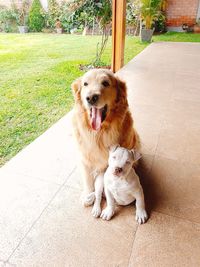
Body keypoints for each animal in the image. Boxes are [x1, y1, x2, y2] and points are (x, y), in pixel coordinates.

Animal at [71, 69, 140, 207]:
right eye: (85, 84)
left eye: (105, 83)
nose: (91, 98)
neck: (100, 133)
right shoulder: (85, 157)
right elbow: (87, 178)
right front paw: (88, 194)